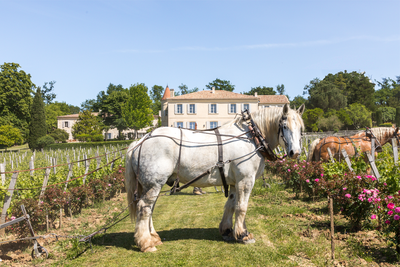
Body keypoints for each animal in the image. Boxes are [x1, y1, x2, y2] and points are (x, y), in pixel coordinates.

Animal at [125, 103, 304, 252]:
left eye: (301, 129)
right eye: (284, 126)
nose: (295, 152)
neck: (252, 138)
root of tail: (141, 140)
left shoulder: (235, 183)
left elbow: (230, 205)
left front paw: (227, 230)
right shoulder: (246, 180)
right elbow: (242, 207)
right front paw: (243, 234)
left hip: (151, 185)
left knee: (150, 209)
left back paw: (153, 237)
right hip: (154, 184)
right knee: (144, 208)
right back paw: (146, 243)